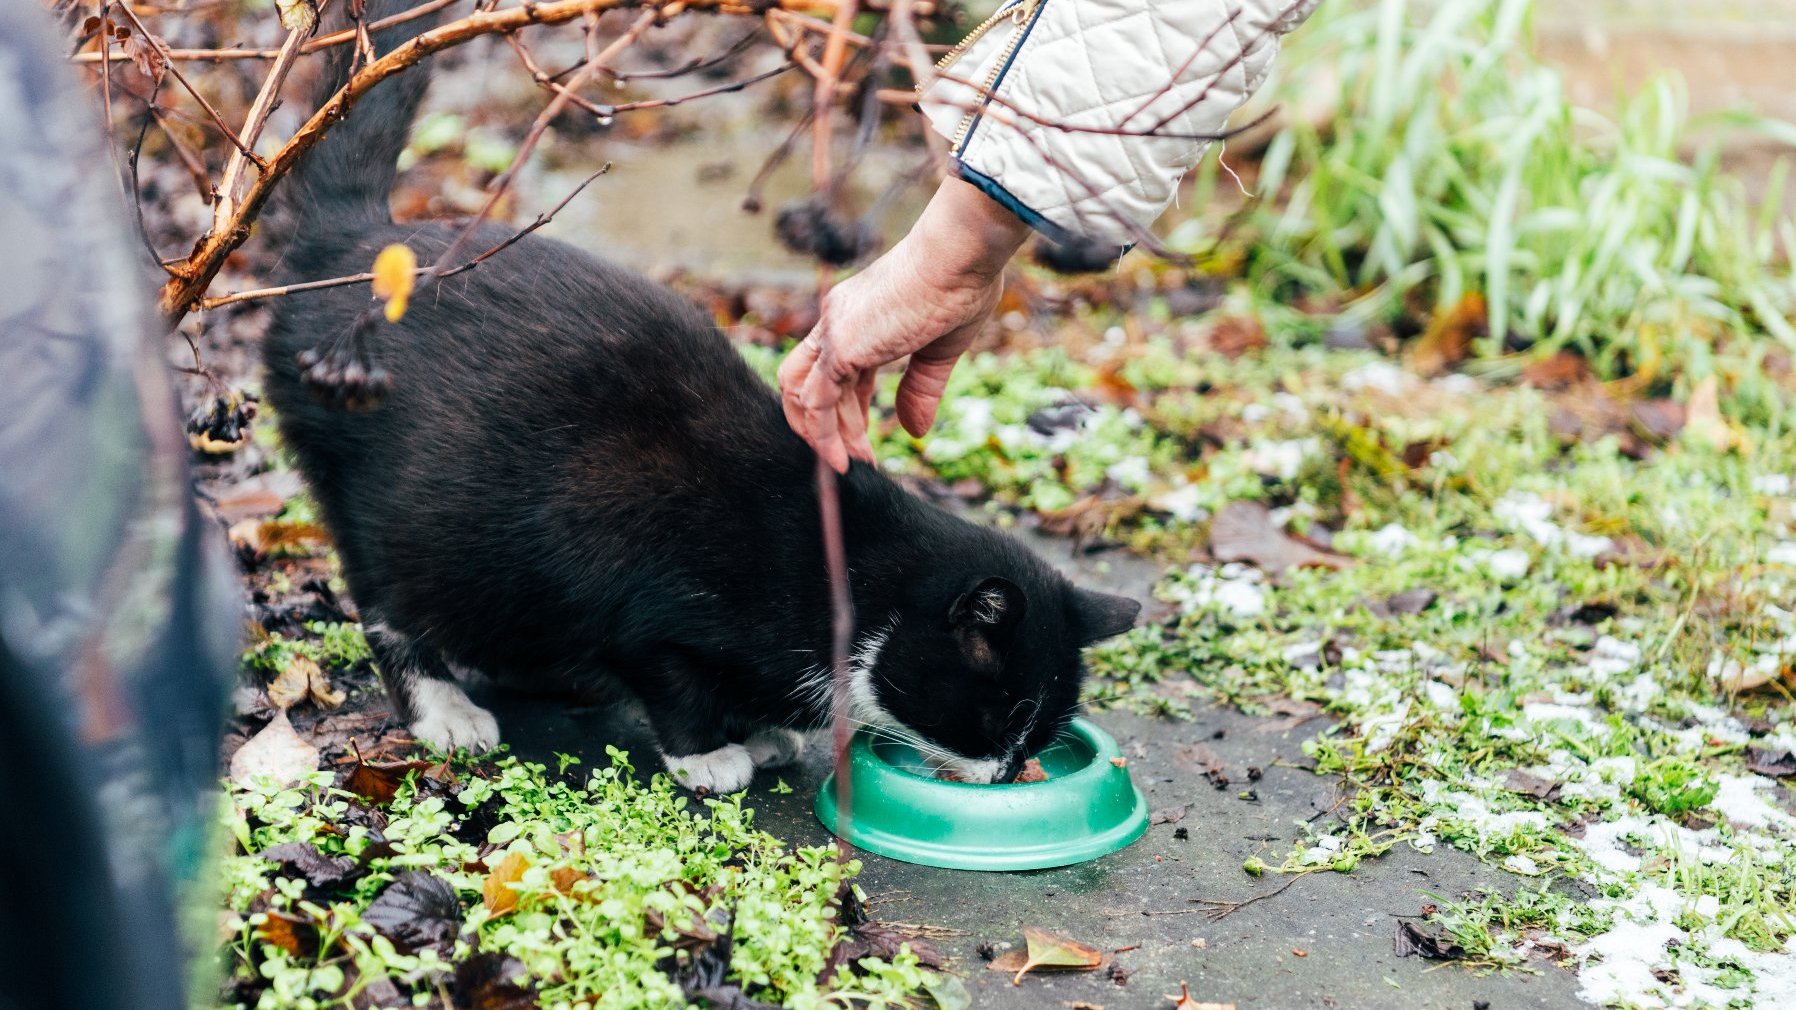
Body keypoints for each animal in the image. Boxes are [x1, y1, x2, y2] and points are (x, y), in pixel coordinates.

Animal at [258, 0, 1135, 790]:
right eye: (995, 717)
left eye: (1038, 734)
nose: (1008, 772)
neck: (853, 574)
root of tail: (356, 243)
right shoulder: (645, 597)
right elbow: (670, 679)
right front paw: (710, 754)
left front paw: (769, 728)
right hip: (385, 501)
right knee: (385, 599)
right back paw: (444, 706)